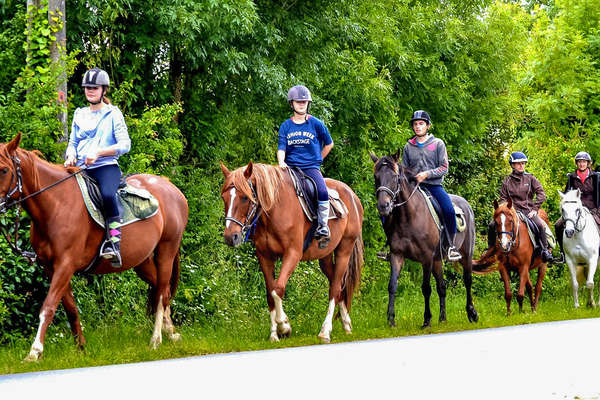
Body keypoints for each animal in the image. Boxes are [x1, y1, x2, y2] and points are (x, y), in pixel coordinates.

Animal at [0, 134, 189, 360]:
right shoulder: (51, 267)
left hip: (166, 252)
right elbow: (70, 308)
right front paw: (80, 347)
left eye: (3, 170)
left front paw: (35, 351)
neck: (56, 205)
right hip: (142, 262)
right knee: (163, 290)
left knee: (161, 293)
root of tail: (171, 188)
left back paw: (156, 339)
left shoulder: (65, 265)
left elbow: (49, 306)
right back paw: (172, 333)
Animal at [219, 161, 364, 342]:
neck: (275, 211)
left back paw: (325, 331)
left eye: (245, 197)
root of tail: (353, 196)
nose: (230, 237)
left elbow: (278, 289)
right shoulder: (264, 256)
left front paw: (284, 326)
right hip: (325, 257)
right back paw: (346, 324)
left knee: (335, 288)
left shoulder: (292, 254)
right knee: (338, 285)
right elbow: (270, 293)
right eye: (224, 197)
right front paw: (274, 334)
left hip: (344, 250)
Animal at [370, 152, 478, 328]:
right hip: (438, 260)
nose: (383, 206)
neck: (408, 217)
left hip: (466, 255)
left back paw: (472, 313)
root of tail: (466, 205)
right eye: (376, 176)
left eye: (395, 177)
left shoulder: (426, 258)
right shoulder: (397, 255)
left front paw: (427, 319)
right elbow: (392, 286)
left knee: (467, 281)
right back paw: (442, 318)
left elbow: (426, 288)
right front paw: (391, 319)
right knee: (442, 286)